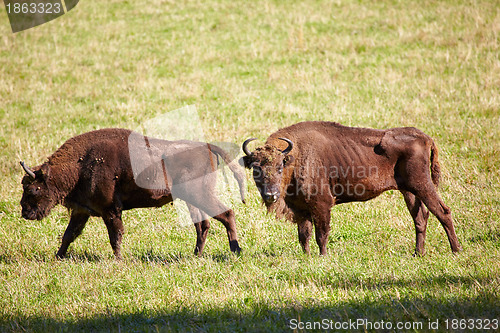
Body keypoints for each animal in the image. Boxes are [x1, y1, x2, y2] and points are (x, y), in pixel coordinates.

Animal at [20, 128, 246, 258]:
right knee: (203, 224)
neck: (80, 164)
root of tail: (206, 147)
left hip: (199, 195)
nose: (25, 212)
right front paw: (58, 256)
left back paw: (235, 251)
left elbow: (115, 235)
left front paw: (119, 259)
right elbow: (69, 235)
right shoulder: (81, 211)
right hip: (192, 199)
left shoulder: (110, 210)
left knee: (226, 214)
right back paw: (197, 254)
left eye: (32, 189)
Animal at [241, 120, 460, 255]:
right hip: (409, 191)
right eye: (256, 168)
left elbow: (322, 234)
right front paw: (307, 256)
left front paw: (322, 257)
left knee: (443, 212)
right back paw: (417, 253)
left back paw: (456, 250)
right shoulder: (302, 209)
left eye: (280, 167)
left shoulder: (322, 205)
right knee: (420, 218)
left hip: (422, 185)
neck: (295, 157)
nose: (270, 195)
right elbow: (304, 235)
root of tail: (425, 137)